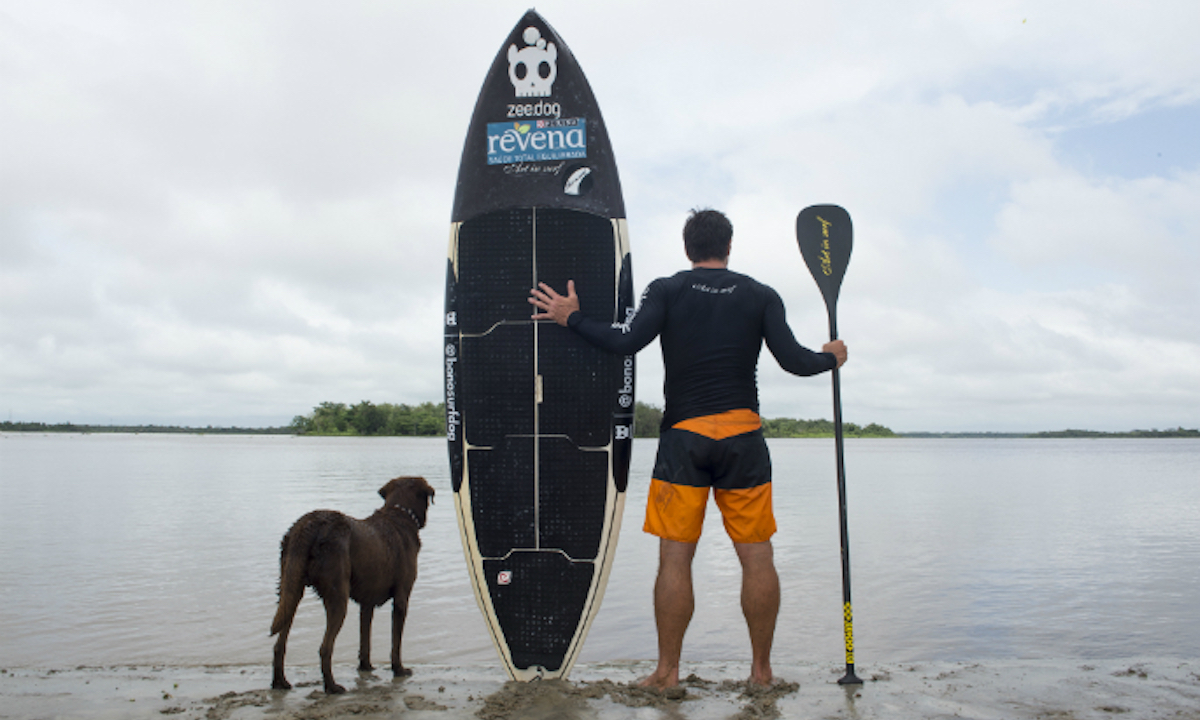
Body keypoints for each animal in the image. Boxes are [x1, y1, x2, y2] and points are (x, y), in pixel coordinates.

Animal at [272, 475, 436, 696]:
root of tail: (307, 525)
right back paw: (332, 686)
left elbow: (365, 638)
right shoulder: (402, 597)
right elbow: (396, 641)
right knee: (325, 647)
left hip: (291, 586)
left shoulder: (367, 602)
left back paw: (280, 682)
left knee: (279, 641)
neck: (399, 514)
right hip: (337, 593)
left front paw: (366, 667)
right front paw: (399, 669)